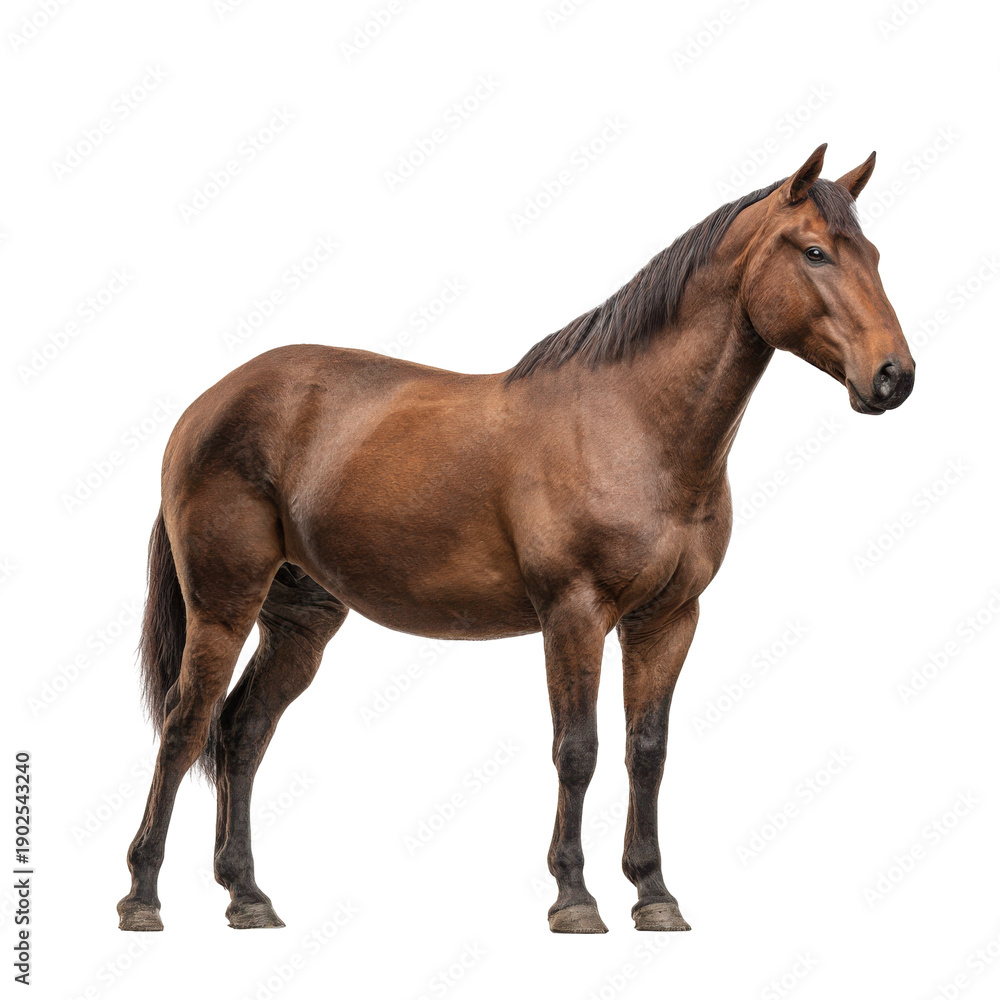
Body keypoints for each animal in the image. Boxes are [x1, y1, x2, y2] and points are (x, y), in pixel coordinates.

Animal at [118, 144, 914, 935]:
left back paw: (247, 895)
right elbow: (578, 749)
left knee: (242, 730)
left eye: (873, 253)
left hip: (300, 620)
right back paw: (143, 895)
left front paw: (655, 894)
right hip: (223, 603)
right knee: (186, 724)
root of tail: (208, 406)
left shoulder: (668, 620)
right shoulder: (574, 613)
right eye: (814, 251)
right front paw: (575, 898)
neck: (630, 425)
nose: (893, 377)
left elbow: (647, 751)